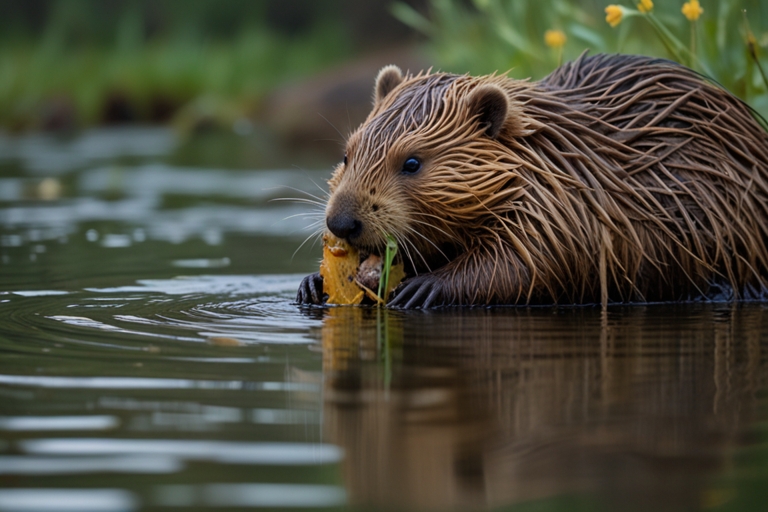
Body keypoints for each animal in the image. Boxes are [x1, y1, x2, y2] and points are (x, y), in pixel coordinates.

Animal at [296, 54, 768, 308]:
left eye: (412, 163)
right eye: (346, 154)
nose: (342, 223)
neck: (553, 155)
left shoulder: (565, 207)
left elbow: (531, 263)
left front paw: (422, 289)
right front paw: (313, 284)